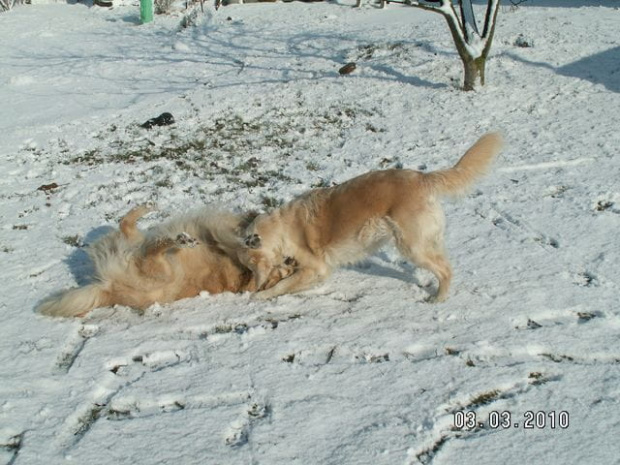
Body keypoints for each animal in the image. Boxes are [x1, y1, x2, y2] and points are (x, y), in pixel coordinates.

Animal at [38, 205, 296, 318]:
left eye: (285, 272)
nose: (291, 262)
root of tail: (107, 289)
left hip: (160, 273)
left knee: (150, 248)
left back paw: (179, 240)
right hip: (137, 242)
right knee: (129, 227)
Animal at [237, 132, 504, 302]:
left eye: (251, 264)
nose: (249, 286)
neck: (282, 228)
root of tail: (423, 178)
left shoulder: (316, 268)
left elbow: (284, 284)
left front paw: (261, 294)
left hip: (413, 246)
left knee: (446, 270)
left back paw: (438, 299)